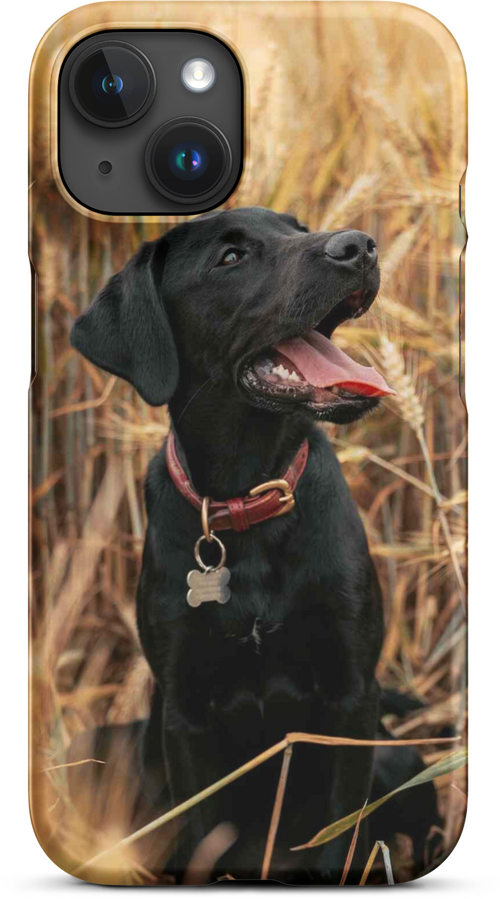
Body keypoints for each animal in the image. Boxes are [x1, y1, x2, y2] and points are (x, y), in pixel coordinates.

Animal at [71, 207, 398, 884]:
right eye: (230, 258)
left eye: (297, 227)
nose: (359, 247)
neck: (249, 500)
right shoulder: (184, 714)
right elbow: (202, 834)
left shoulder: (354, 696)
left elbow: (338, 833)